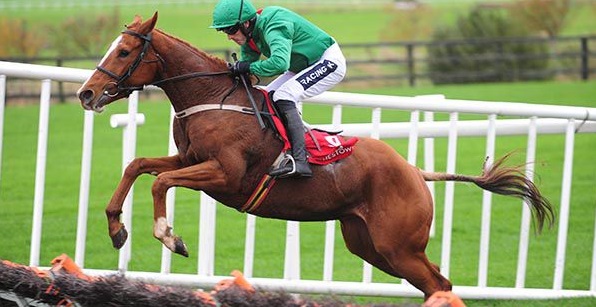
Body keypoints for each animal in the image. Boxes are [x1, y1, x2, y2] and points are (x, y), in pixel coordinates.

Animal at [75, 13, 556, 300]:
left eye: (123, 51)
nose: (86, 94)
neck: (212, 97)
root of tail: (415, 171)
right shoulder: (190, 159)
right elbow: (138, 166)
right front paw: (117, 228)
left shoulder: (225, 175)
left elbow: (159, 181)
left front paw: (169, 236)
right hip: (370, 245)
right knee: (437, 282)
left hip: (397, 245)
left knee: (438, 284)